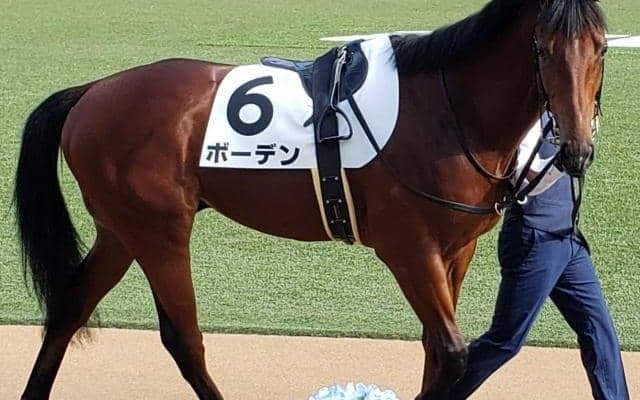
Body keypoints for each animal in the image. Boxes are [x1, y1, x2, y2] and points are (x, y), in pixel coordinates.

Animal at [13, 0, 607, 398]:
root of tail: (92, 91)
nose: (576, 148)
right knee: (183, 337)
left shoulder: (456, 250)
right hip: (158, 231)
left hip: (120, 230)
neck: (446, 108)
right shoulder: (410, 251)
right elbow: (454, 353)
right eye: (542, 49)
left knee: (68, 310)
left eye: (601, 47)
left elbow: (435, 350)